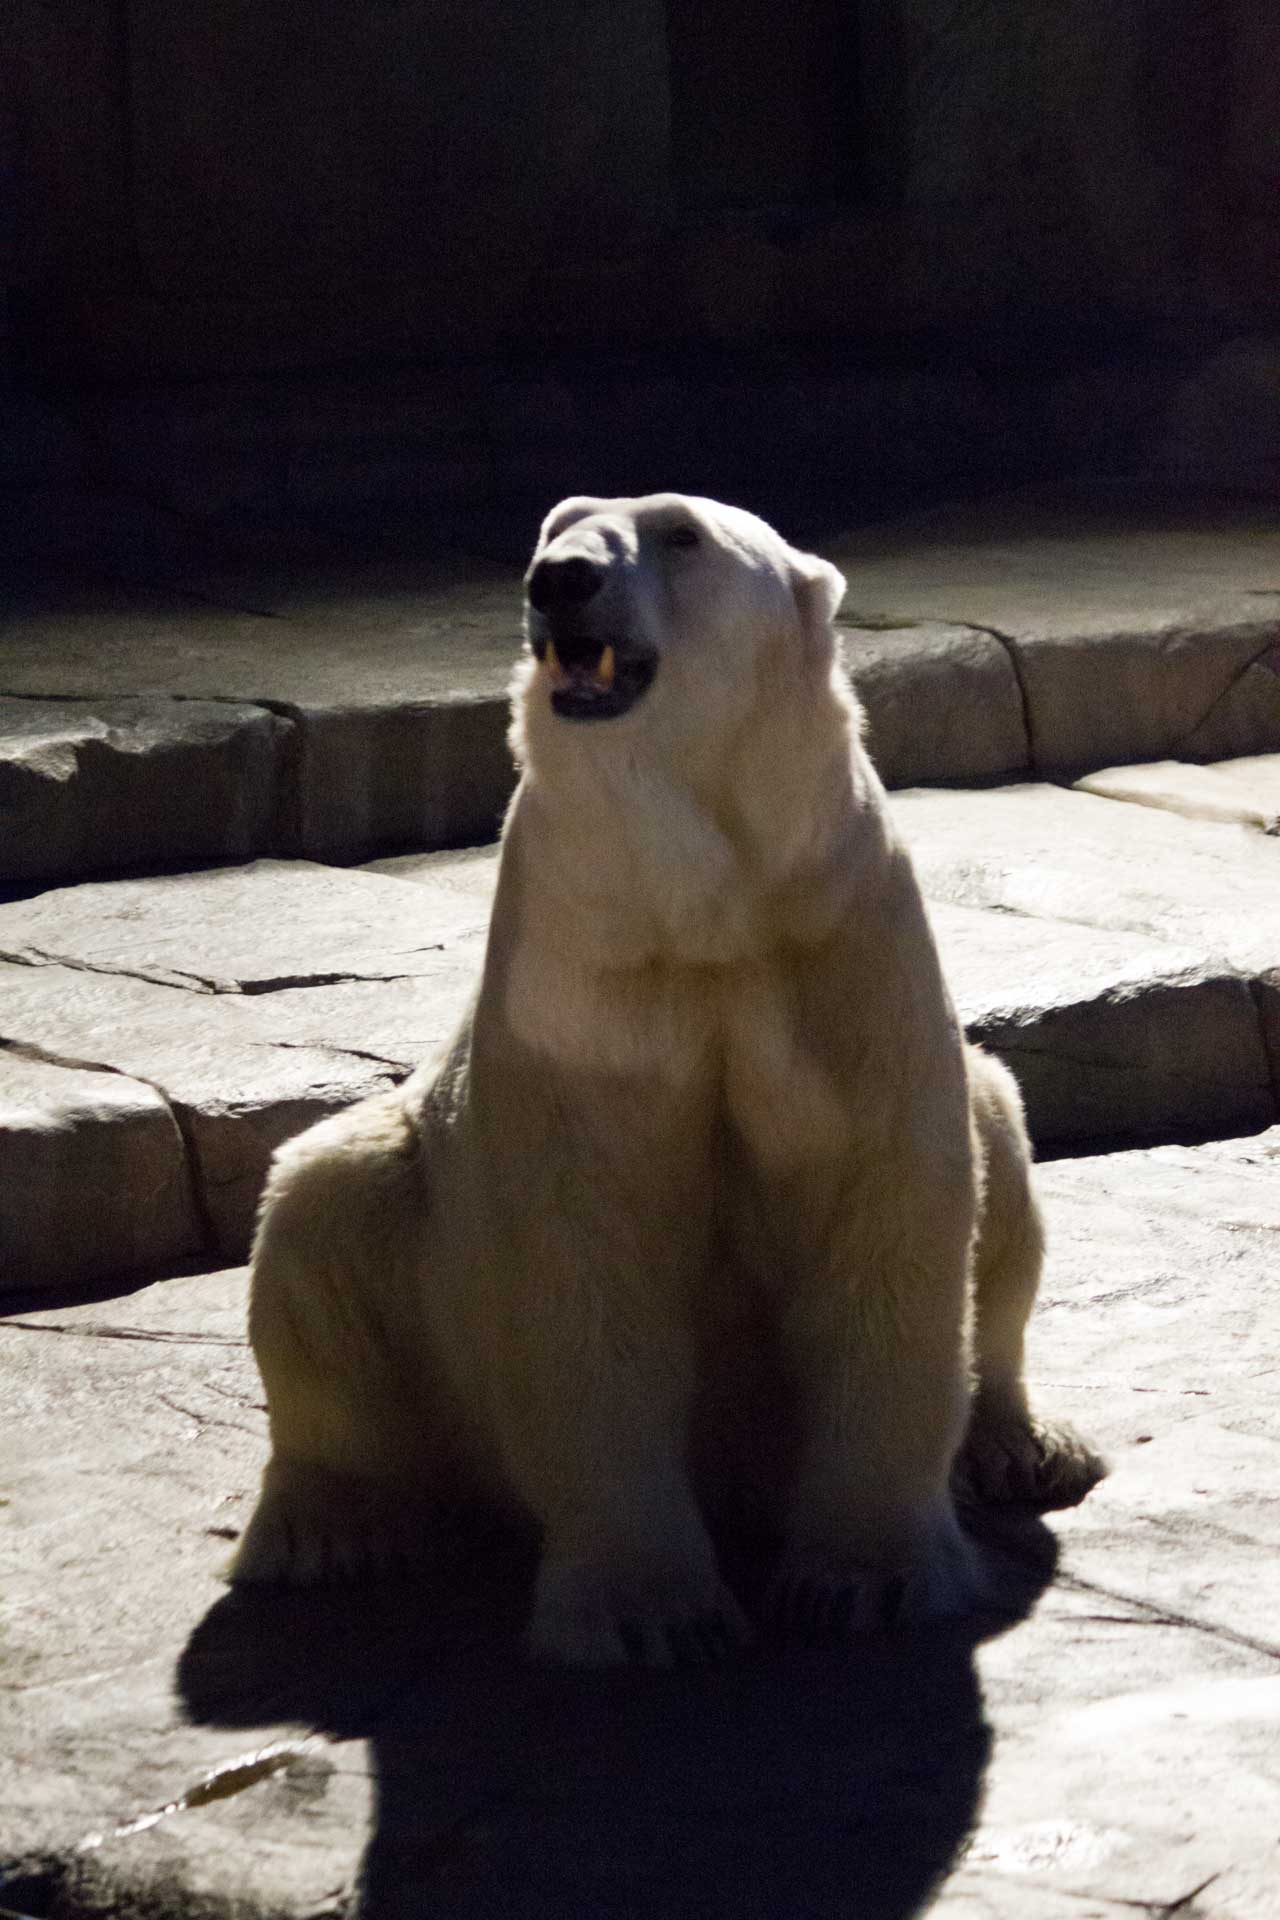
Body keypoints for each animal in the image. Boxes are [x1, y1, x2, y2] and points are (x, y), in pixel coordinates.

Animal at [233, 495, 1113, 1666]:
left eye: (680, 534)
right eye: (558, 524)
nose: (559, 578)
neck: (705, 901)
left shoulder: (832, 938)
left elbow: (881, 1214)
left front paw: (863, 1582)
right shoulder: (582, 971)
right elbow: (587, 1255)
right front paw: (648, 1615)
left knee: (998, 1142)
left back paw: (1019, 1448)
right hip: (409, 1219)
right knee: (319, 1207)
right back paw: (330, 1529)